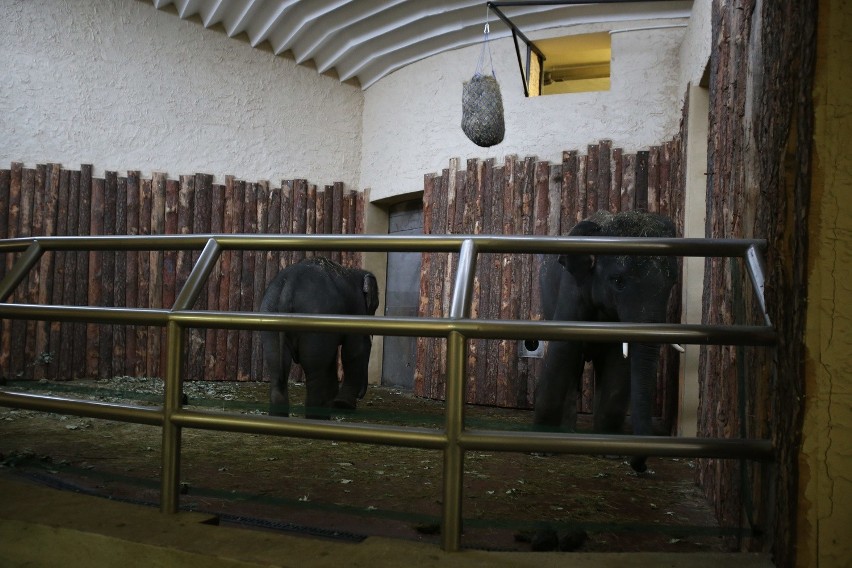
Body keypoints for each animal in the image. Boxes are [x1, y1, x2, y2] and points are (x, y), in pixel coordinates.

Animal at [260, 256, 380, 418]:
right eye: (375, 306)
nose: (362, 394)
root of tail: (290, 284)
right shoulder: (357, 308)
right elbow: (354, 350)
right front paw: (343, 405)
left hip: (270, 315)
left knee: (277, 368)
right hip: (315, 318)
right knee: (316, 373)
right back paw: (318, 417)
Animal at [532, 211, 680, 472]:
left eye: (672, 283)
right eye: (618, 281)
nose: (640, 467)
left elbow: (619, 361)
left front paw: (610, 453)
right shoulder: (573, 288)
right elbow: (562, 349)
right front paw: (542, 449)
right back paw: (567, 431)